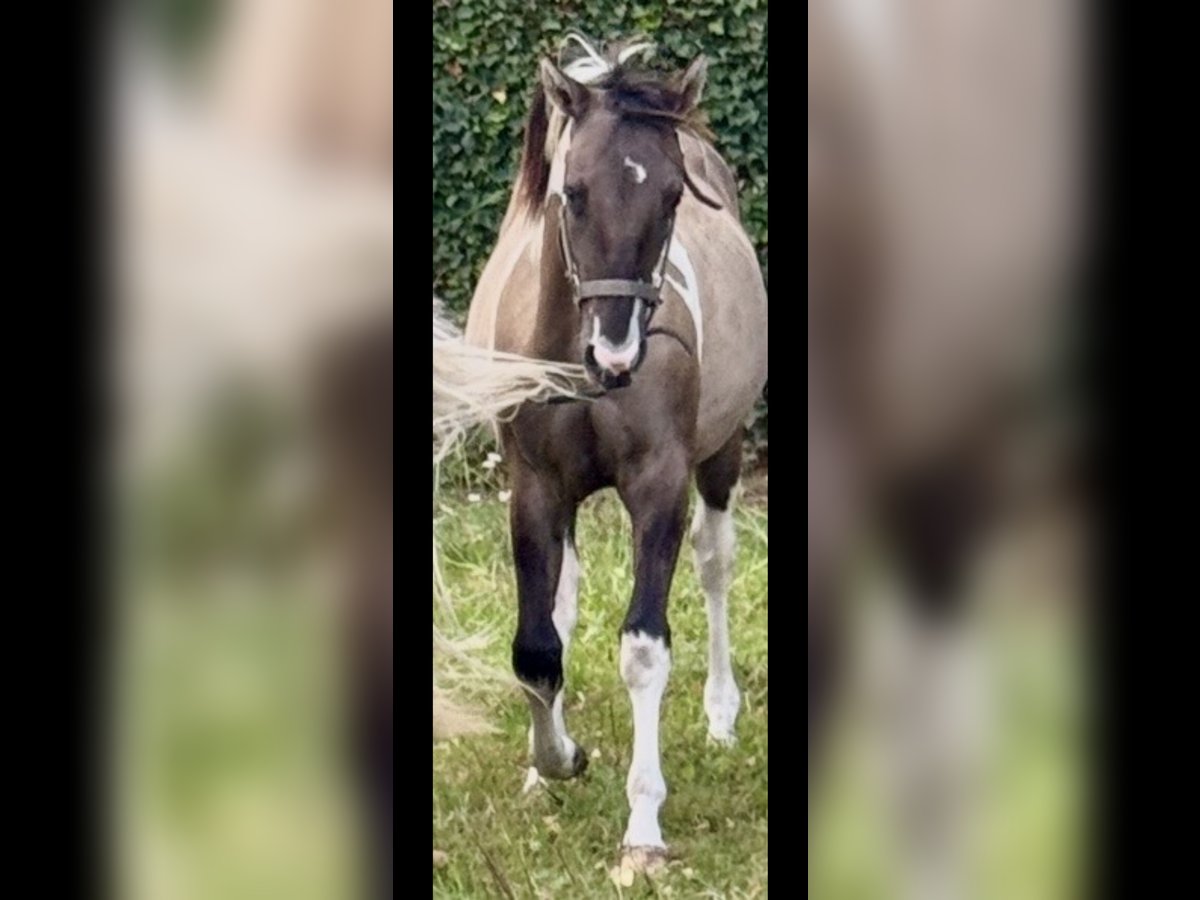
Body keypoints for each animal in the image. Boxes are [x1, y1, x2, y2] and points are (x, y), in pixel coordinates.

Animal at [463, 35, 768, 869]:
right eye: (572, 191)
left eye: (671, 197)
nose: (617, 353)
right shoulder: (535, 489)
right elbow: (538, 646)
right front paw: (556, 761)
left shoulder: (659, 486)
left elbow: (643, 648)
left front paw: (643, 826)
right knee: (561, 607)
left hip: (722, 454)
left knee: (715, 565)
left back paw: (722, 714)